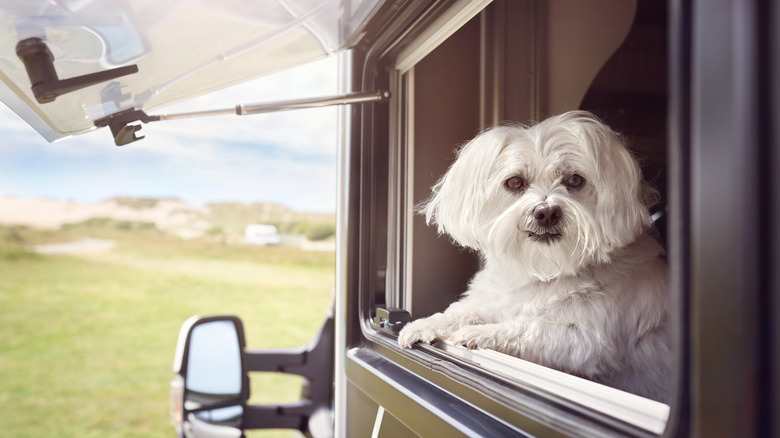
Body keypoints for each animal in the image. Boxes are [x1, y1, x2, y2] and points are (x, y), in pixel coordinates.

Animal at [400, 111, 672, 402]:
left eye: (574, 180)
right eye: (515, 182)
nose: (547, 212)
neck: (547, 269)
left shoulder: (589, 342)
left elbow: (529, 326)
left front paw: (481, 332)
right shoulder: (495, 300)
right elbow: (462, 311)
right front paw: (423, 324)